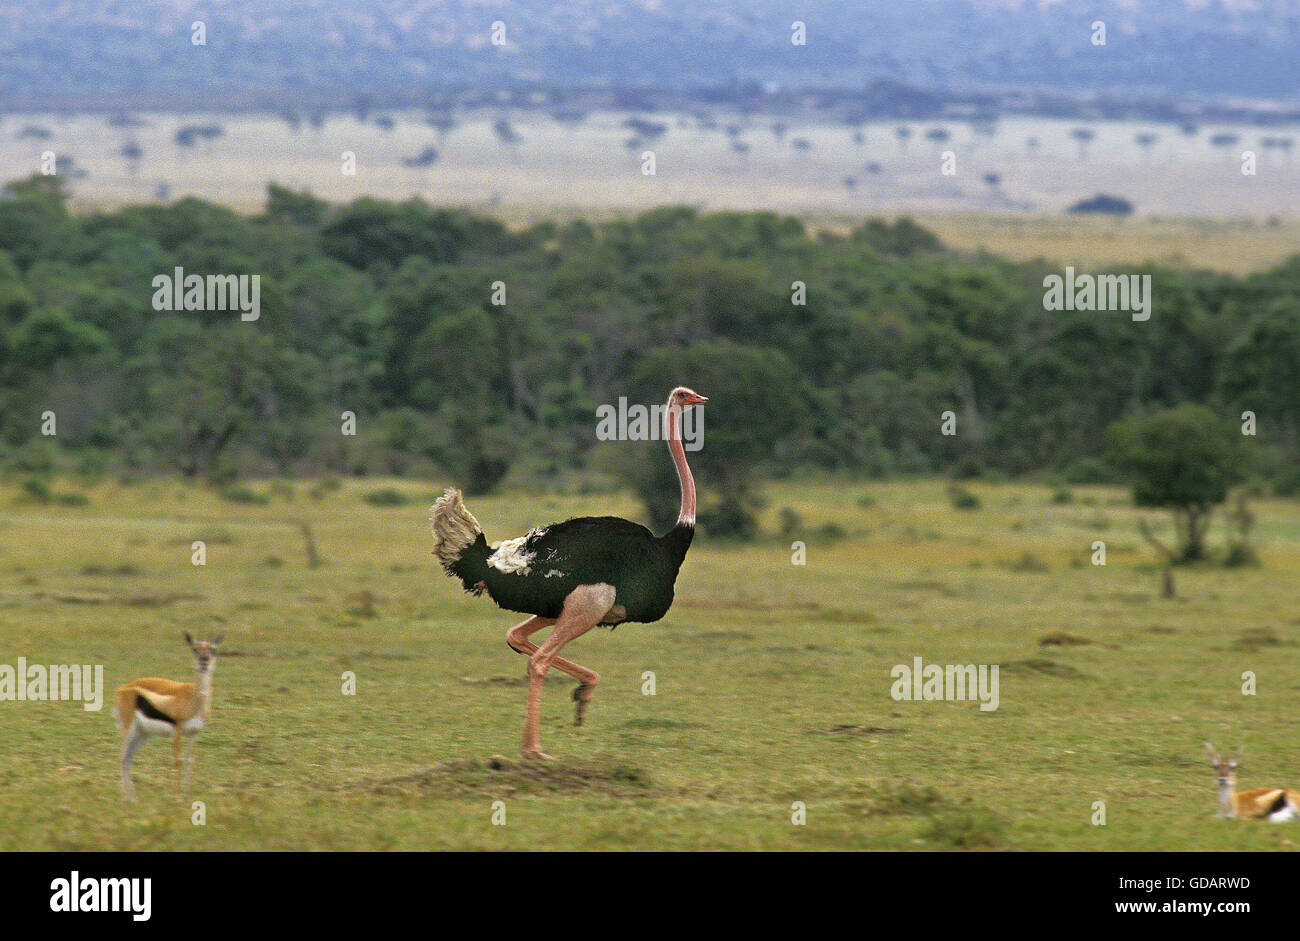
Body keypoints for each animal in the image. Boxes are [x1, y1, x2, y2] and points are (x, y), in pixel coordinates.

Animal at [114, 632, 221, 800]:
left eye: (213, 649)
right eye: (195, 649)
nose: (204, 663)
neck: (193, 697)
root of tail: (122, 689)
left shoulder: (194, 733)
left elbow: (190, 760)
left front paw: (188, 795)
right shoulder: (177, 731)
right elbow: (178, 760)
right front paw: (177, 797)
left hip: (142, 734)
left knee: (128, 758)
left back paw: (133, 798)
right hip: (129, 729)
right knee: (122, 756)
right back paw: (126, 798)